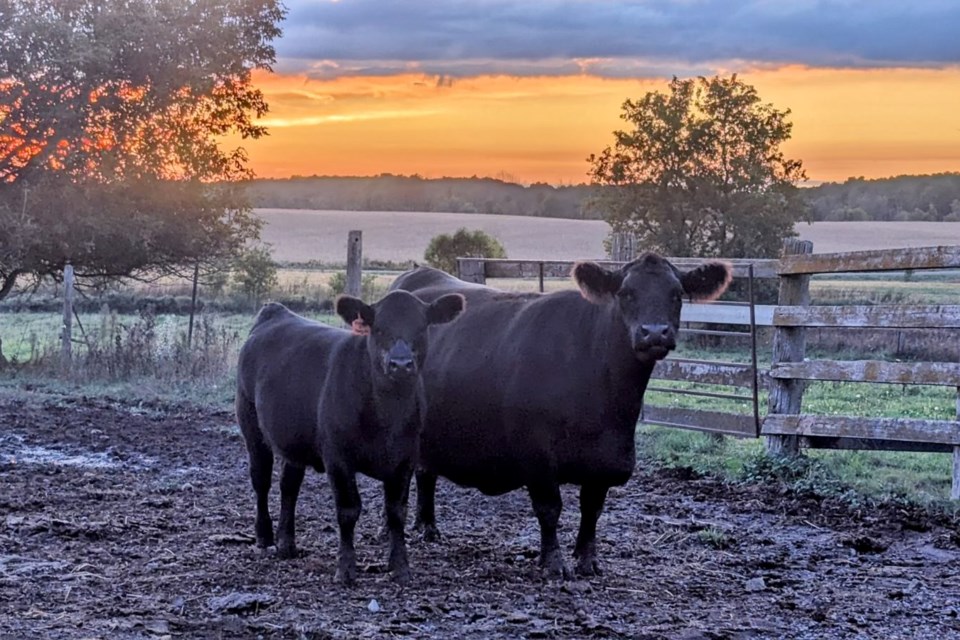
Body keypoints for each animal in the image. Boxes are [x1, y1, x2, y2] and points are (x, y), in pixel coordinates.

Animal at [238, 292, 466, 584]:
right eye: (378, 329)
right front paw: (345, 569)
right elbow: (348, 510)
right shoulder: (338, 457)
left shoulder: (405, 458)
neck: (387, 414)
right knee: (261, 480)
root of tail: (276, 311)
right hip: (251, 425)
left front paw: (400, 567)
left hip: (294, 441)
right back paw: (264, 536)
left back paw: (286, 544)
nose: (400, 364)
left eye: (421, 328)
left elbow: (396, 512)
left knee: (289, 486)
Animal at [386, 254, 732, 576]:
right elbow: (550, 509)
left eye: (677, 293)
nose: (655, 333)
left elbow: (592, 510)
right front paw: (553, 562)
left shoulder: (605, 461)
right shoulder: (536, 455)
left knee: (425, 472)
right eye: (625, 293)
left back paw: (428, 527)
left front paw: (588, 560)